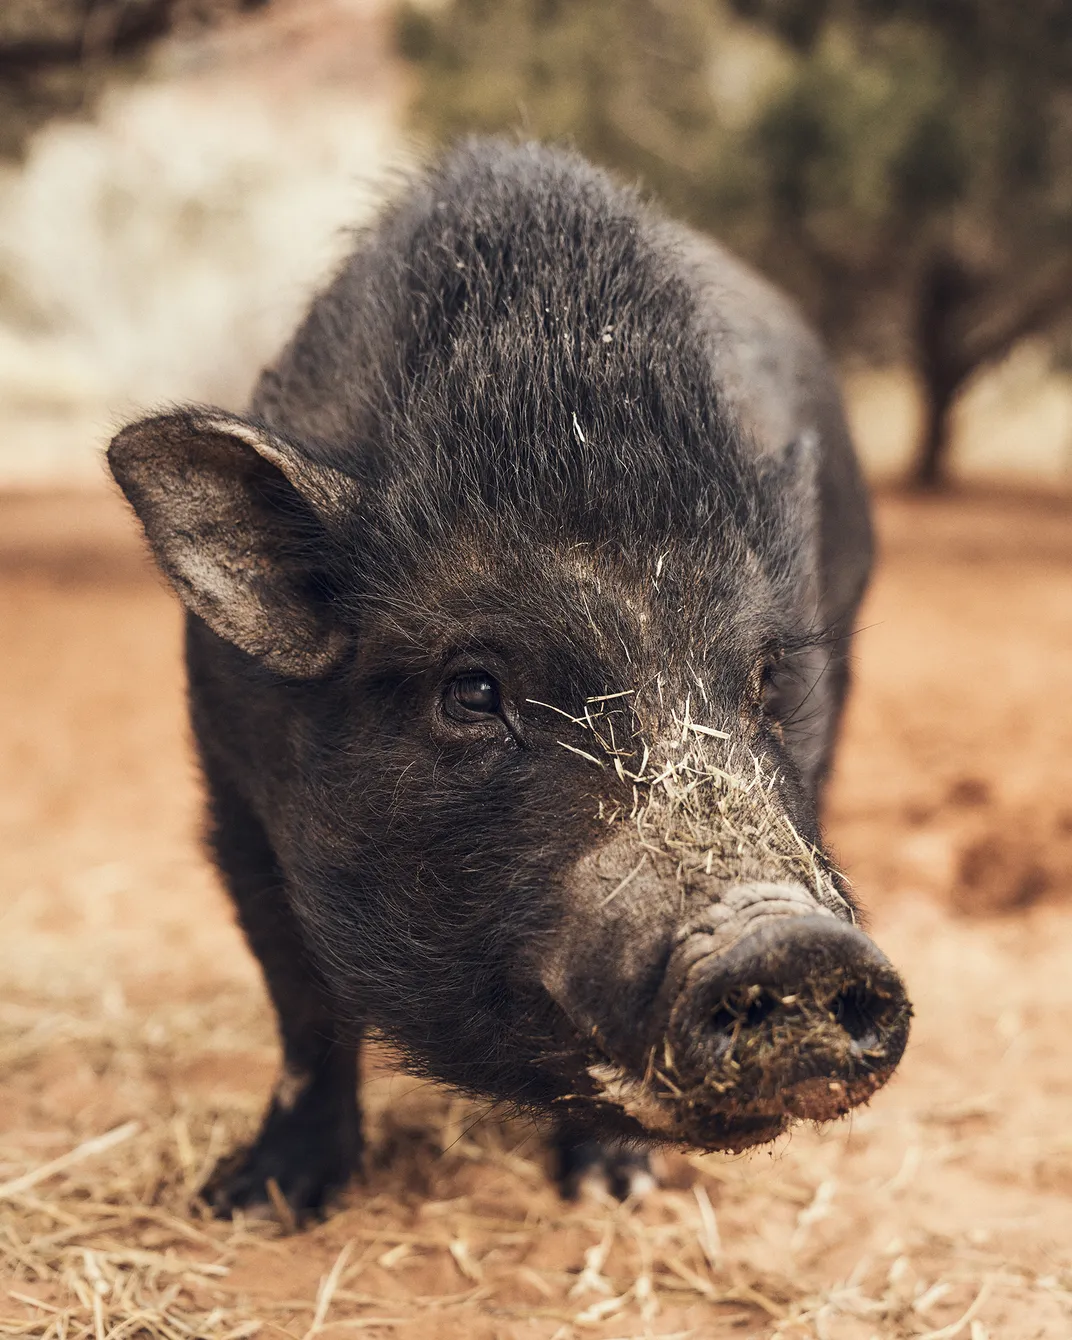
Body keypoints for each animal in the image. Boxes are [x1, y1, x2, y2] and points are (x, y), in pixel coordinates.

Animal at [107, 139, 911, 1219]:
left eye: (768, 676)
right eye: (473, 690)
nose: (790, 941)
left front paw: (613, 1191)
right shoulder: (231, 794)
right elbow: (302, 1006)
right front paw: (253, 1202)